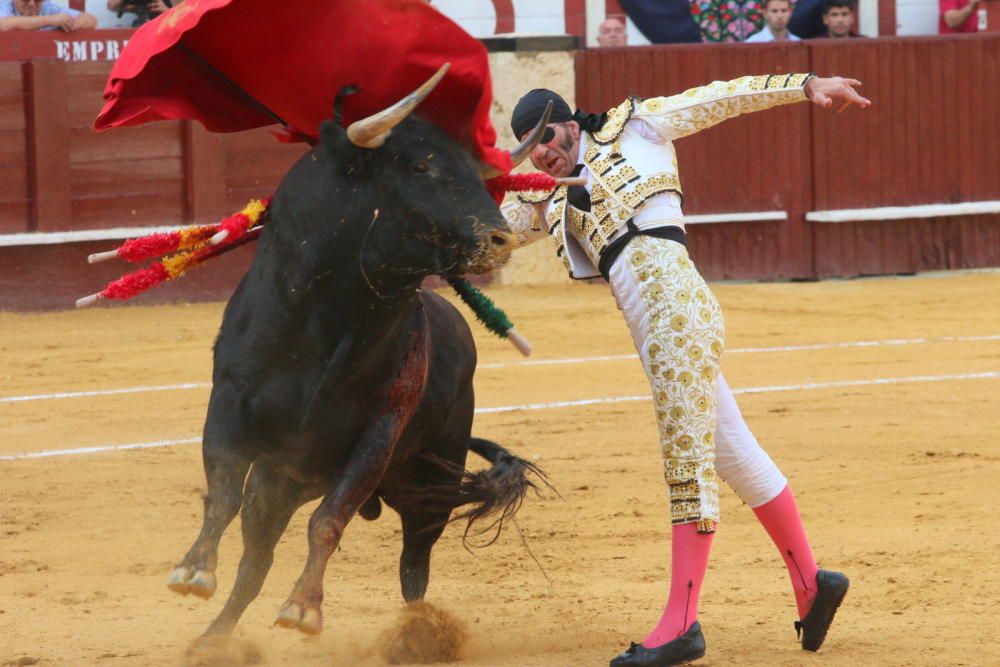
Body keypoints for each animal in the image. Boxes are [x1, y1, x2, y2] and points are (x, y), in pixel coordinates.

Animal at [169, 109, 552, 636]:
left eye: (478, 176)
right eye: (420, 167)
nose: (501, 238)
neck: (328, 324)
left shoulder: (378, 434)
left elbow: (328, 521)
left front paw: (303, 608)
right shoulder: (229, 404)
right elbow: (223, 493)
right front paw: (194, 571)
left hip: (427, 488)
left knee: (413, 569)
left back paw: (416, 634)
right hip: (278, 484)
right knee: (255, 563)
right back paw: (213, 640)